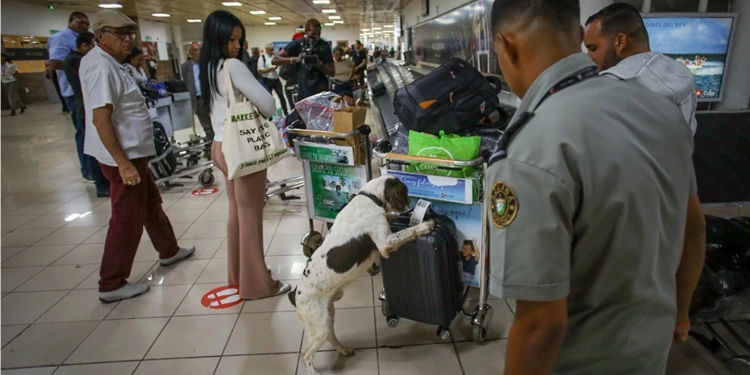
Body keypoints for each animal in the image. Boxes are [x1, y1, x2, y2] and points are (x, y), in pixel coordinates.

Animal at [290, 176, 438, 375]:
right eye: (405, 192)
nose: (409, 203)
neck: (369, 197)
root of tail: (295, 295)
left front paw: (392, 215)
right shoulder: (385, 243)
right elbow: (407, 231)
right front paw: (426, 225)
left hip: (327, 317)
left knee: (331, 336)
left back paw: (344, 349)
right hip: (318, 326)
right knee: (306, 354)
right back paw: (314, 372)